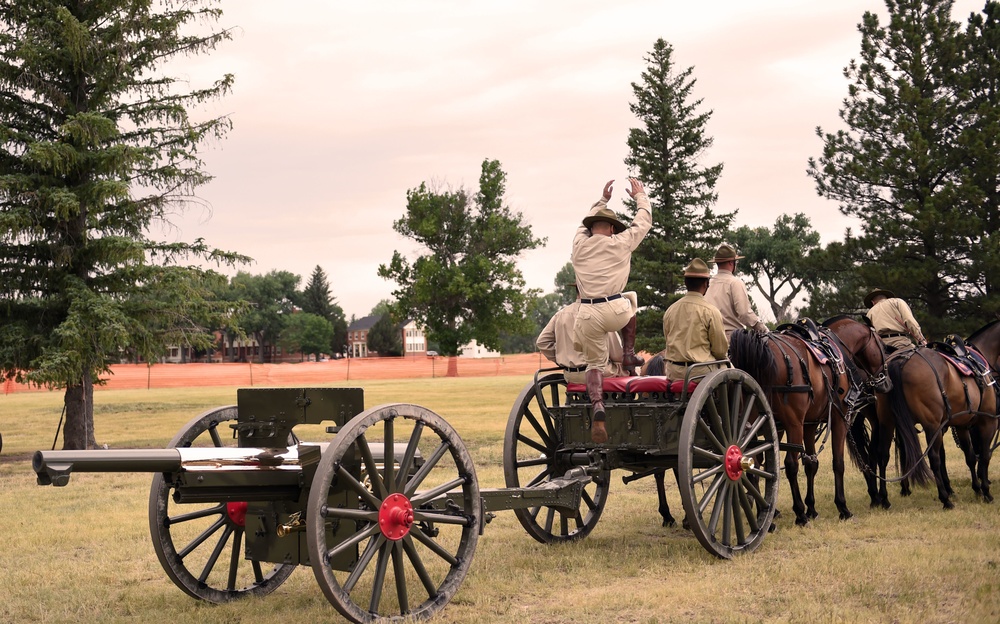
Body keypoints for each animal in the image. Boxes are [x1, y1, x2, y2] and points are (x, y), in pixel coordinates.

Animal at [728, 316, 892, 528]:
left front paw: (812, 508)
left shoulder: (810, 423)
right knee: (789, 465)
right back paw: (798, 514)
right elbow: (838, 463)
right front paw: (842, 508)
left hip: (756, 424)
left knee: (752, 466)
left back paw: (766, 517)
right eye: (882, 346)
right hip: (791, 424)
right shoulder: (839, 420)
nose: (887, 383)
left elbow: (811, 464)